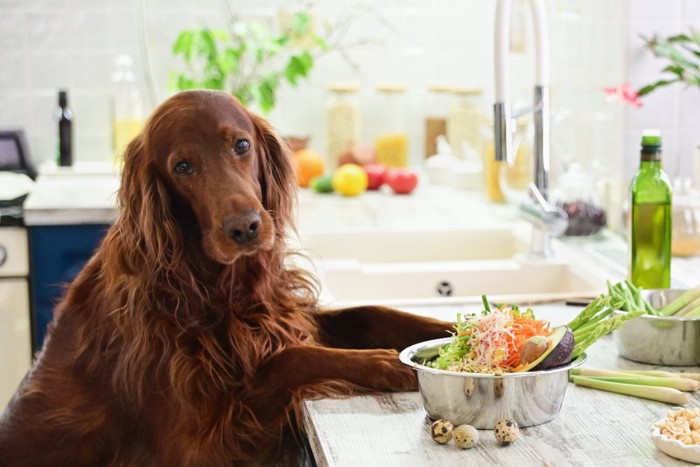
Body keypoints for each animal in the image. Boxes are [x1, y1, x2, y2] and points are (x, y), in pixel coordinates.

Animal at [0, 89, 448, 466]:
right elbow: (288, 358)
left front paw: (450, 325)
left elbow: (371, 311)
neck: (211, 283)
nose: (245, 228)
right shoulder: (204, 441)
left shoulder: (280, 314)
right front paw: (383, 362)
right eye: (182, 166)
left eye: (241, 145)